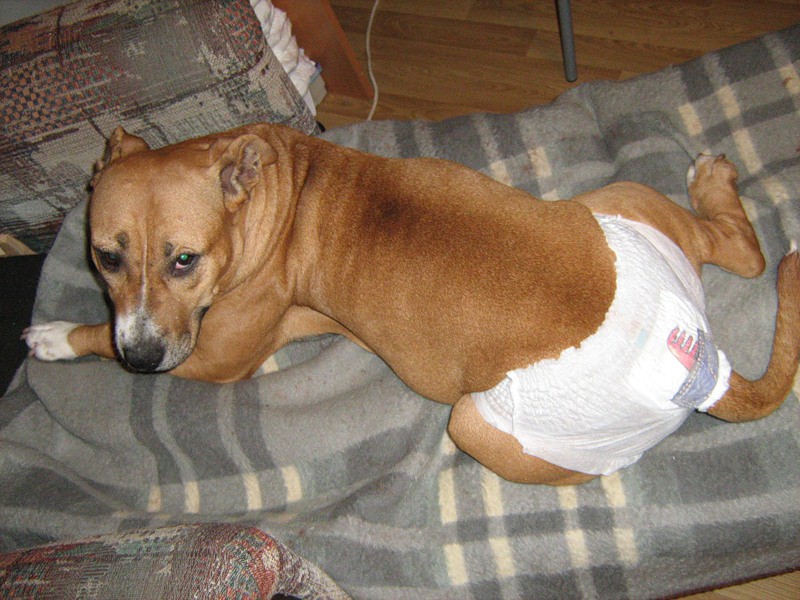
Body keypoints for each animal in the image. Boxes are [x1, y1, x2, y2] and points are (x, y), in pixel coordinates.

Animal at [24, 123, 800, 485]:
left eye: (184, 260)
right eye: (105, 256)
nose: (144, 354)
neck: (277, 188)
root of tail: (701, 358)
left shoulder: (213, 357)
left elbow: (100, 335)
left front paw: (57, 335)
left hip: (477, 423)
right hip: (619, 203)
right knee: (742, 250)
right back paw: (713, 183)